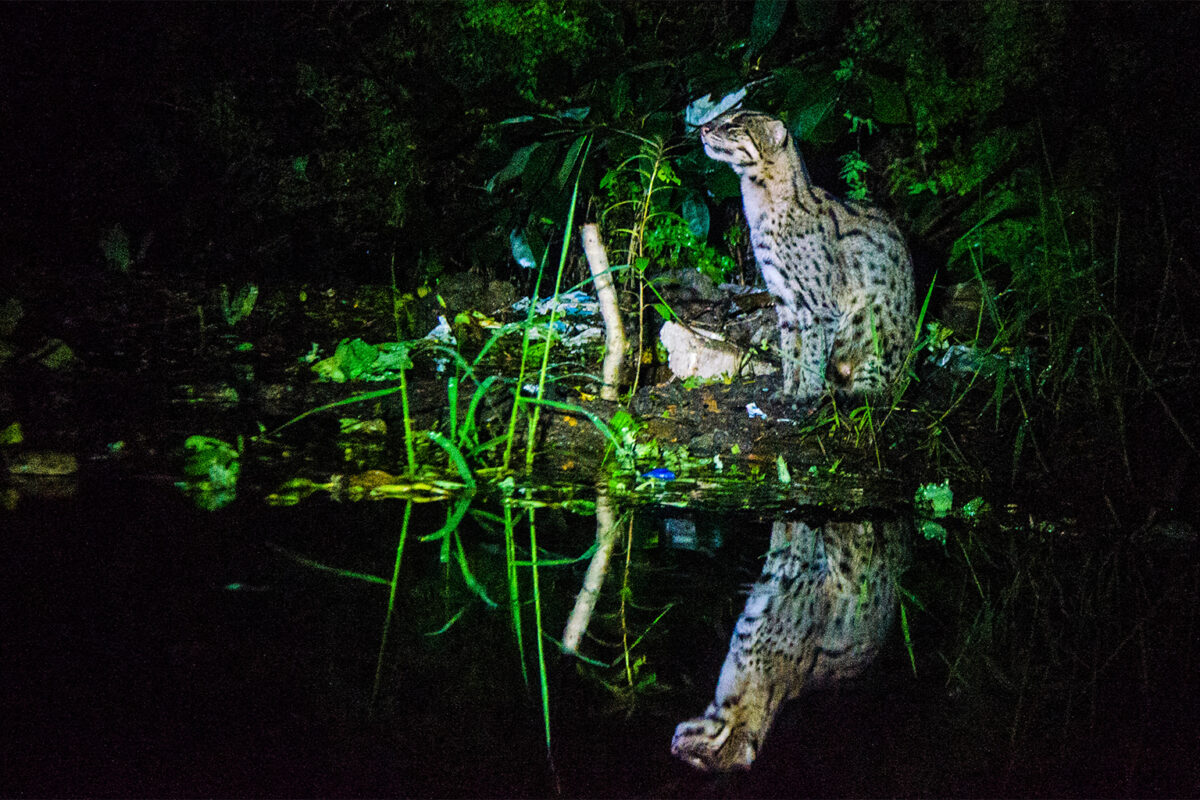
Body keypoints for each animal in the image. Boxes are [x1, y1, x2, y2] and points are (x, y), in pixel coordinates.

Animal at [700, 109, 912, 407]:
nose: (702, 128)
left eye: (734, 124)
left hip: (872, 326)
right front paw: (789, 390)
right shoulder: (784, 301)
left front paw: (806, 394)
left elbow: (812, 353)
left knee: (877, 388)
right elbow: (791, 352)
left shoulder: (819, 308)